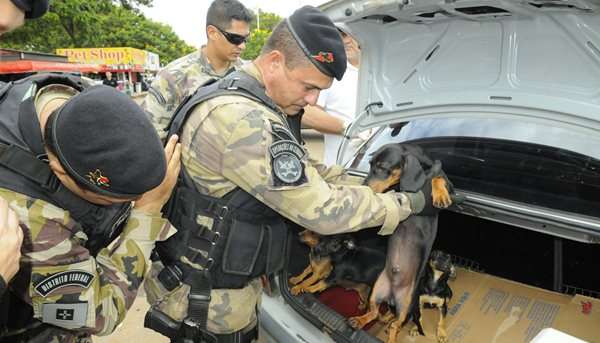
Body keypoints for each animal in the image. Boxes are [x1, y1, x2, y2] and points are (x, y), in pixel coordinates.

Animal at [350, 144, 452, 343]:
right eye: (370, 164)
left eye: (382, 167)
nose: (362, 188)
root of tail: (391, 296)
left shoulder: (445, 180)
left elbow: (438, 177)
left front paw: (440, 195)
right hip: (376, 292)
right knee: (375, 313)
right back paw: (360, 320)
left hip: (408, 305)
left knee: (395, 325)